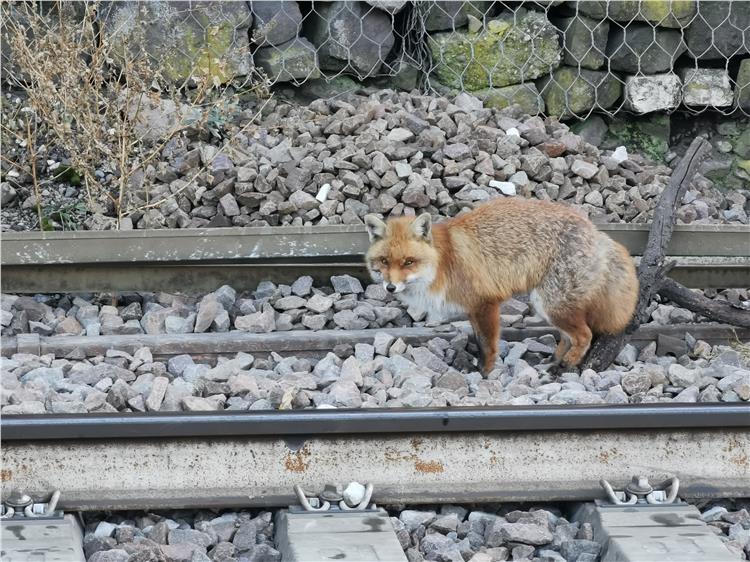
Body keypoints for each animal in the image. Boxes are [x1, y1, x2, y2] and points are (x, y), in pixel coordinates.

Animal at [364, 198, 639, 375]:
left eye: (409, 262)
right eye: (384, 261)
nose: (390, 288)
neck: (444, 261)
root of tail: (596, 232)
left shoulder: (486, 303)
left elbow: (488, 344)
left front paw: (485, 374)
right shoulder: (472, 309)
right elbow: (478, 341)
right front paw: (477, 367)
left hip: (550, 304)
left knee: (584, 336)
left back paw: (565, 366)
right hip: (551, 305)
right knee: (568, 337)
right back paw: (553, 361)